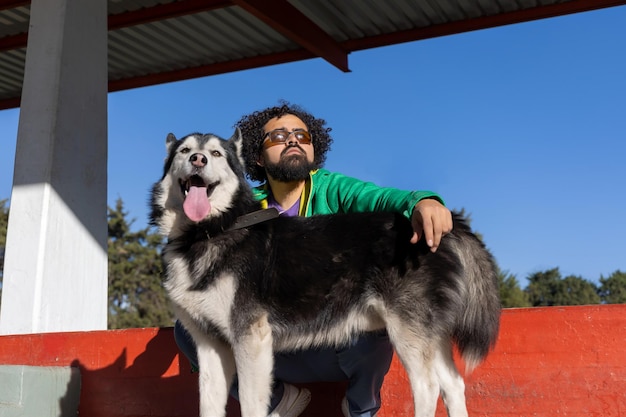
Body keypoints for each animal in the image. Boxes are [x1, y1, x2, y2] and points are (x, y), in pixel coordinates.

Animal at [149, 130, 500, 416]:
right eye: (185, 150)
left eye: (216, 153)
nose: (198, 159)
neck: (212, 230)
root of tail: (446, 223)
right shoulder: (211, 347)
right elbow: (209, 405)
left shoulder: (250, 339)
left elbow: (250, 404)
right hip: (429, 334)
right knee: (453, 385)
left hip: (406, 331)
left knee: (427, 388)